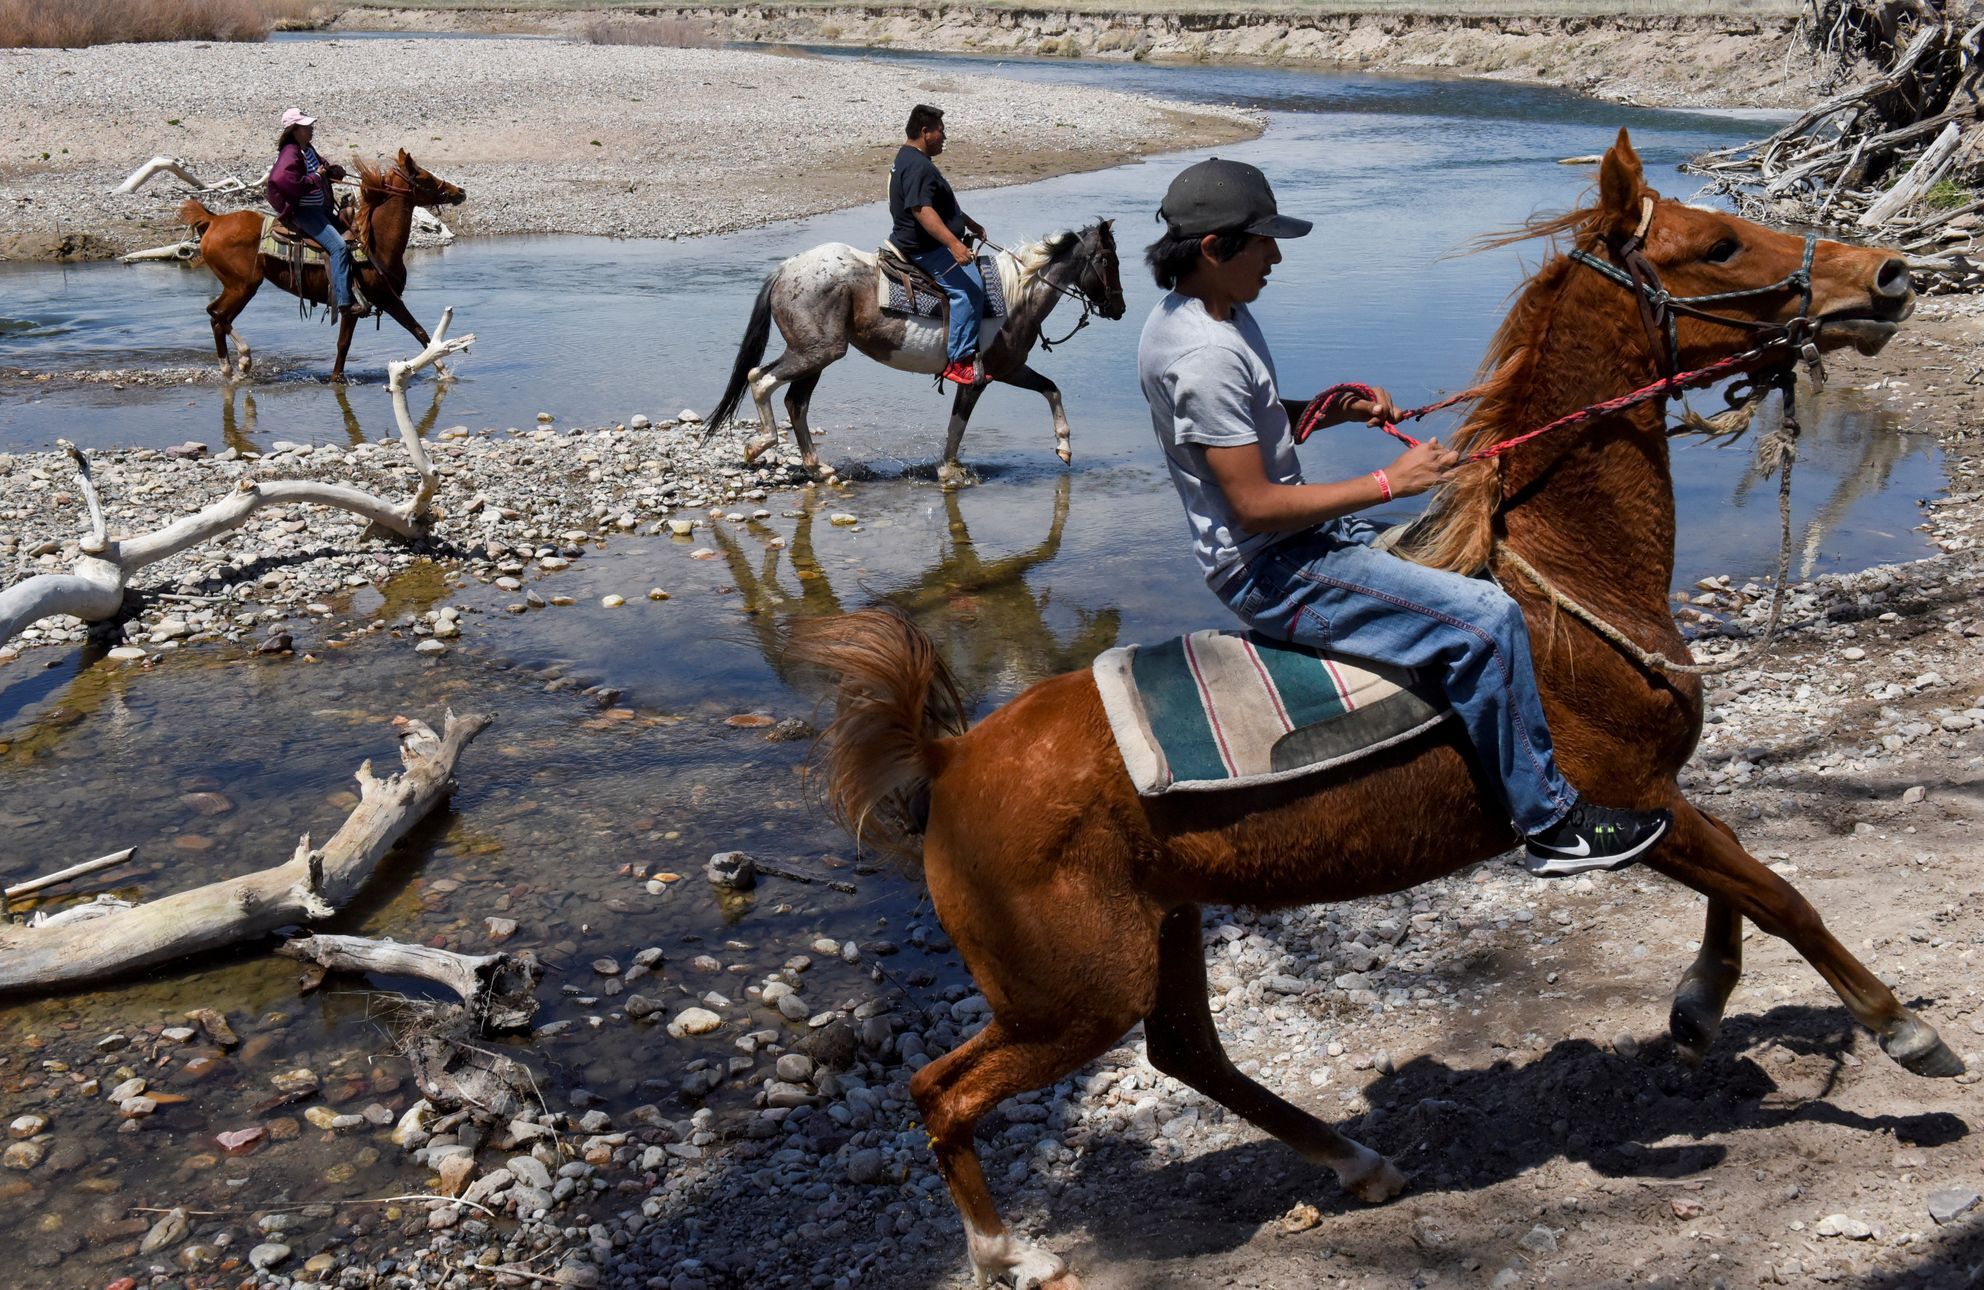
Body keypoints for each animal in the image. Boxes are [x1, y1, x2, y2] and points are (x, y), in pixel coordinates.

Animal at [171, 150, 464, 379]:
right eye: (424, 176)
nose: (459, 191)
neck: (374, 244)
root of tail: (214, 220)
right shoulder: (361, 305)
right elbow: (344, 345)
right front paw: (337, 380)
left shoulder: (386, 301)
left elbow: (420, 332)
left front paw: (444, 372)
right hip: (242, 286)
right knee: (218, 316)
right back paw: (236, 364)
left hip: (240, 287)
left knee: (217, 316)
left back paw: (238, 363)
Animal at [710, 221, 1118, 482]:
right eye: (1107, 261)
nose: (1119, 308)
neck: (1018, 296)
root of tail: (785, 269)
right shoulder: (983, 376)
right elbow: (958, 424)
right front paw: (949, 470)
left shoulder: (1008, 369)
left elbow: (1051, 389)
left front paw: (1064, 447)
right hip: (819, 351)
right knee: (760, 379)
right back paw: (760, 445)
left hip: (816, 355)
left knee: (795, 402)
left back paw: (817, 467)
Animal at [785, 132, 1952, 1286]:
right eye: (1718, 246)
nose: (1891, 277)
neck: (1562, 581)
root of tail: (947, 762)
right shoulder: (1625, 801)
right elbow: (1780, 895)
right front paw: (1902, 1031)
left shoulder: (1657, 802)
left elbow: (1745, 887)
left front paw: (1702, 1004)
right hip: (1071, 994)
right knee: (944, 1092)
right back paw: (1008, 1252)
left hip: (1159, 930)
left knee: (1188, 1053)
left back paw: (1357, 1161)